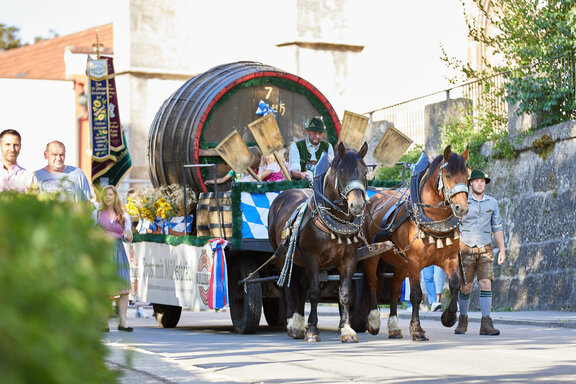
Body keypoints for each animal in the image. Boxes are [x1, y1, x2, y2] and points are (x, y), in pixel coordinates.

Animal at [268, 142, 368, 344]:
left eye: (365, 172)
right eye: (342, 173)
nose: (357, 206)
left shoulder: (349, 259)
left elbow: (344, 294)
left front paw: (347, 330)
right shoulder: (312, 258)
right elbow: (314, 293)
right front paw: (313, 330)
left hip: (299, 262)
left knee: (299, 288)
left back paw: (299, 322)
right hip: (282, 257)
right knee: (287, 288)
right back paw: (293, 325)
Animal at [360, 146, 468, 340]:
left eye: (467, 175)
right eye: (448, 175)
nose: (461, 208)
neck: (434, 221)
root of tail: (372, 199)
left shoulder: (450, 259)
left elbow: (455, 284)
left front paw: (448, 317)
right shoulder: (414, 263)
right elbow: (416, 295)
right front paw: (417, 330)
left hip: (400, 263)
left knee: (395, 290)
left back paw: (394, 327)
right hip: (372, 255)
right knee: (372, 282)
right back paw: (373, 321)